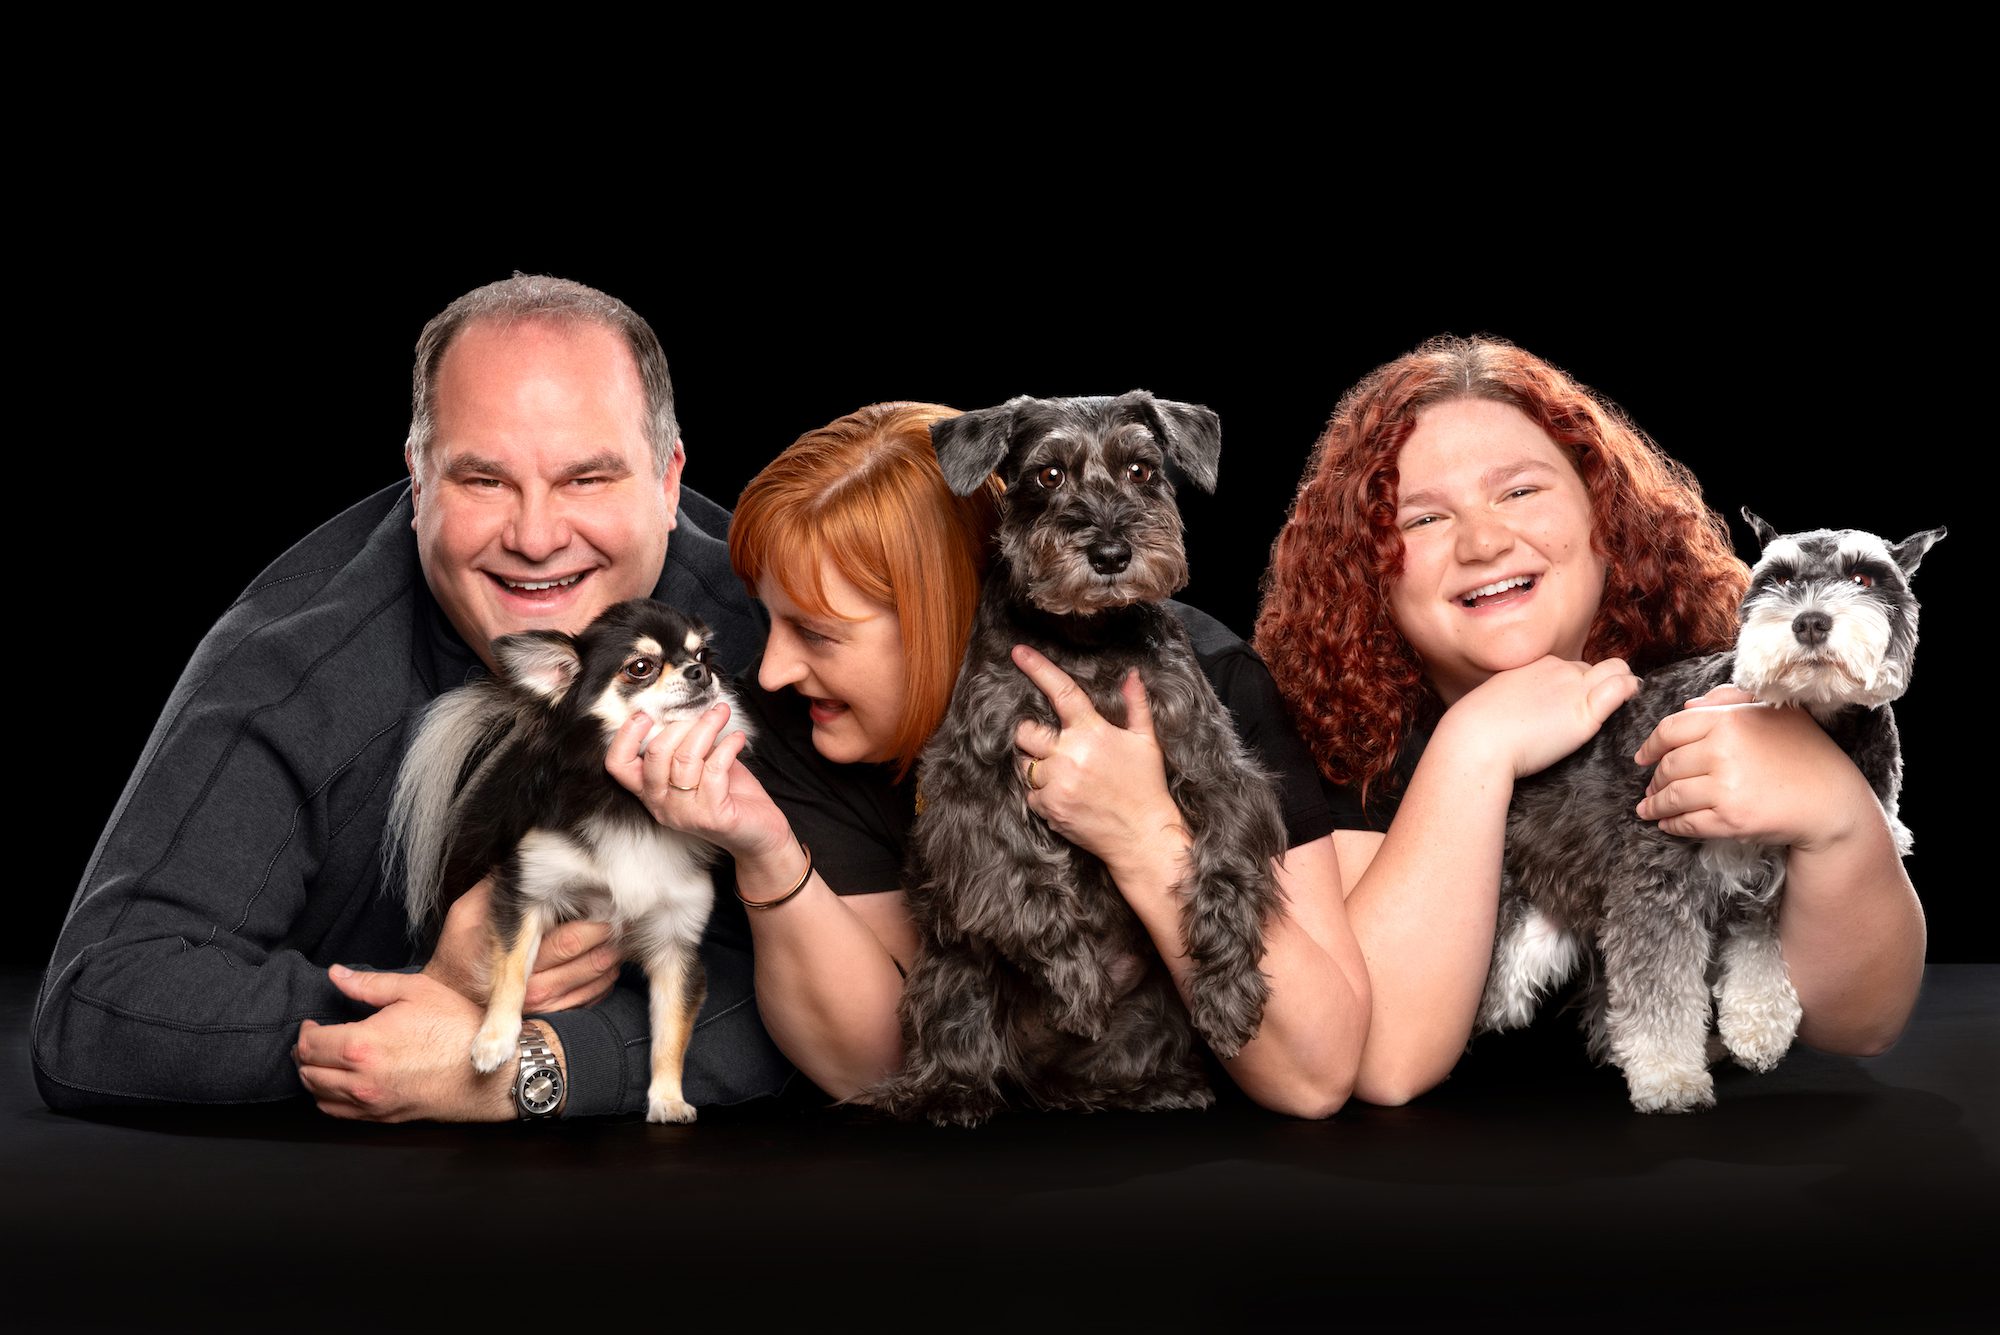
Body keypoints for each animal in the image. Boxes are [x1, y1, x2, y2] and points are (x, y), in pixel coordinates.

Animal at [384, 599, 744, 1119]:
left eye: (704, 655)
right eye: (641, 667)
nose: (702, 673)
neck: (627, 803)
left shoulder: (676, 945)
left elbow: (672, 1032)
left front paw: (668, 1099)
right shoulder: (527, 891)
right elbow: (512, 967)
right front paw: (494, 1040)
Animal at [872, 387, 1280, 1127]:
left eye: (1142, 469)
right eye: (1048, 474)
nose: (1112, 551)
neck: (1088, 639)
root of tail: (1037, 1074)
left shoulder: (1214, 762)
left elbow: (1228, 864)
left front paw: (1229, 990)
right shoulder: (971, 781)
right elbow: (1028, 875)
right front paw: (1075, 977)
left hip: (1151, 1014)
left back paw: (1155, 1087)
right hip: (951, 968)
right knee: (958, 1034)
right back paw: (953, 1092)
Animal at [1480, 515, 1944, 1119]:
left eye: (1865, 577)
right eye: (1776, 577)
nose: (1810, 621)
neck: (1814, 721)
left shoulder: (1770, 871)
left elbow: (1759, 943)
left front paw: (1758, 1024)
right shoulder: (1658, 880)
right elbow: (1661, 986)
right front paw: (1669, 1076)